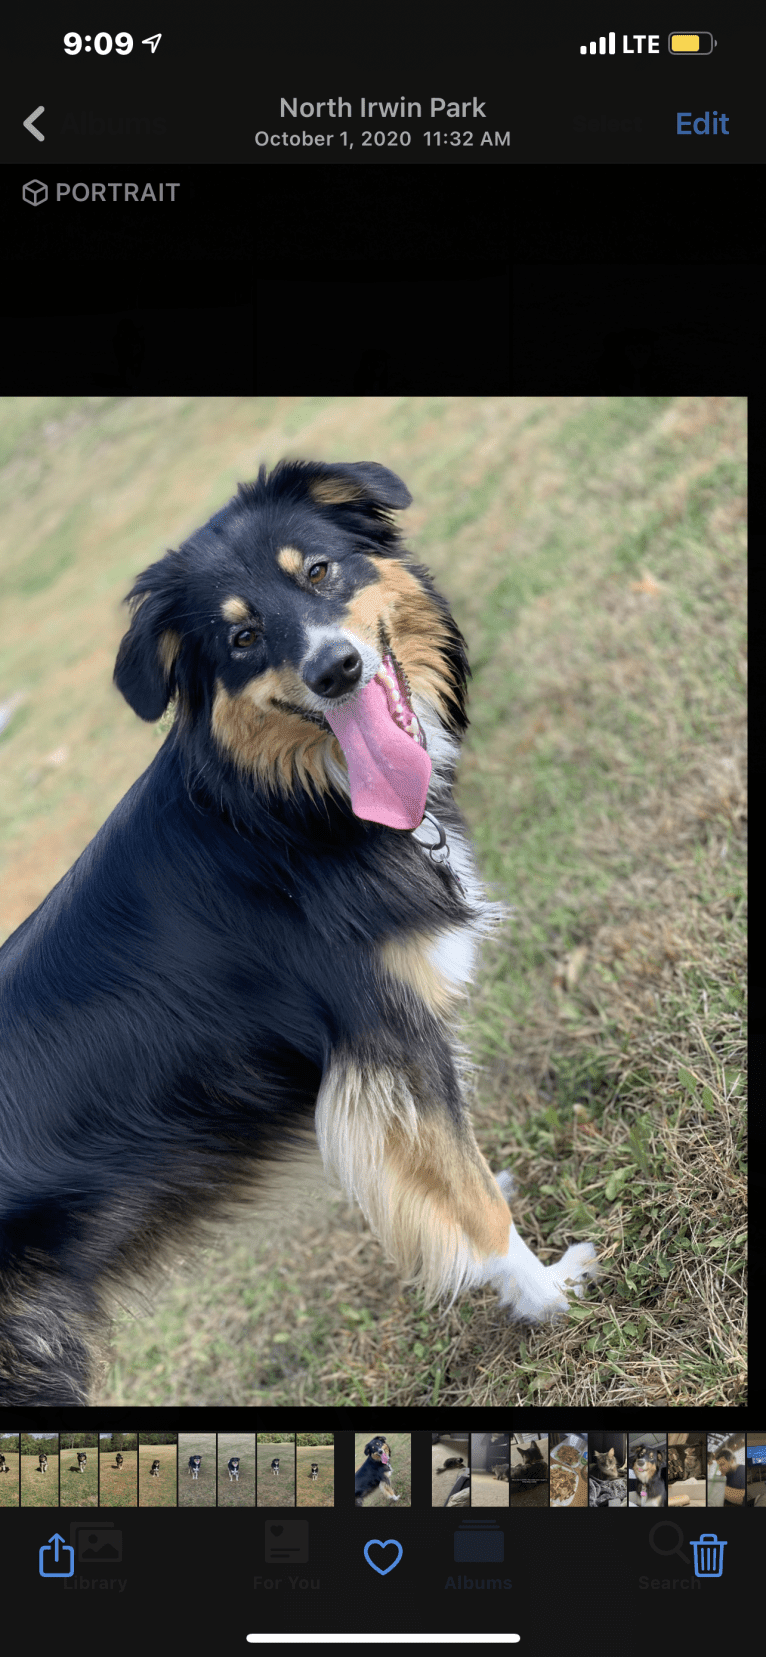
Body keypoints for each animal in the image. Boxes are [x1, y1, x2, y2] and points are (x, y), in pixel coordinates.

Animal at [0, 450, 596, 1398]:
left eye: (318, 570)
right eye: (241, 639)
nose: (335, 670)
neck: (282, 815)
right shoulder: (383, 1035)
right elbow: (466, 1193)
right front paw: (544, 1292)